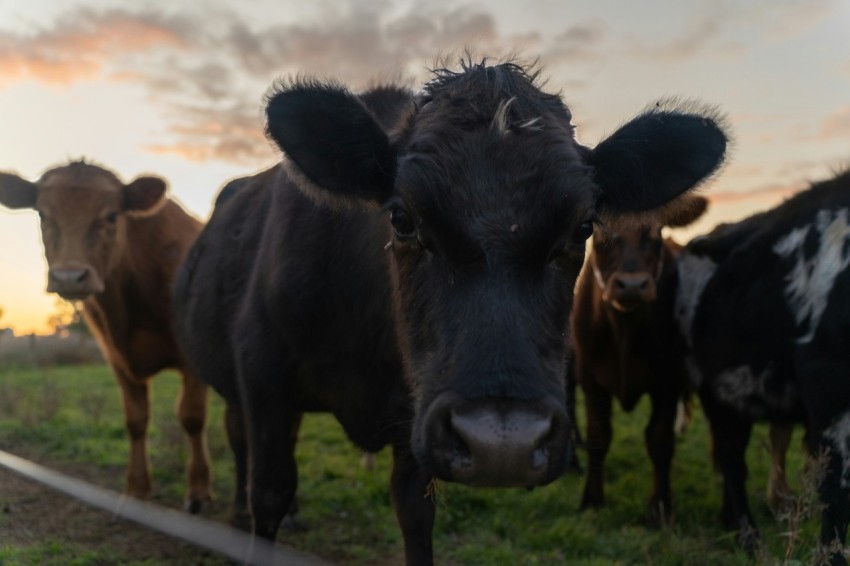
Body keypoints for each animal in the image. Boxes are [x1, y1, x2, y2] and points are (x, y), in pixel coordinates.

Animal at [0, 161, 211, 512]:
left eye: (112, 215)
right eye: (42, 213)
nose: (69, 276)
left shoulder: (193, 359)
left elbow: (192, 417)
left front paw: (198, 491)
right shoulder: (117, 359)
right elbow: (136, 420)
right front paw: (136, 488)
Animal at [570, 195, 708, 525]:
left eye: (655, 234)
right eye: (600, 235)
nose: (631, 286)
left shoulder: (668, 383)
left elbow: (659, 441)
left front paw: (661, 505)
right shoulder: (591, 381)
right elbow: (598, 437)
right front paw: (592, 499)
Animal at [674, 169, 850, 564]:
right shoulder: (826, 384)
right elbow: (835, 485)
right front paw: (831, 555)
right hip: (716, 393)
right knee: (731, 461)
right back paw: (748, 536)